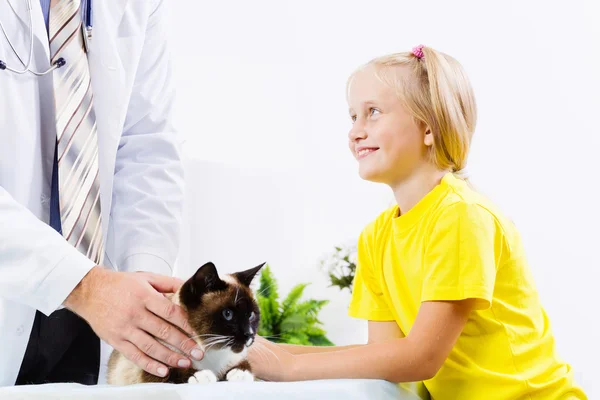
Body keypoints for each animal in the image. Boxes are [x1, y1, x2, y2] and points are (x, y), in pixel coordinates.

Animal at [106, 260, 264, 386]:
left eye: (251, 315)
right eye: (228, 314)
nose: (249, 334)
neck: (210, 352)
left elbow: (245, 366)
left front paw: (239, 374)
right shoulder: (153, 368)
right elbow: (173, 370)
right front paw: (201, 376)